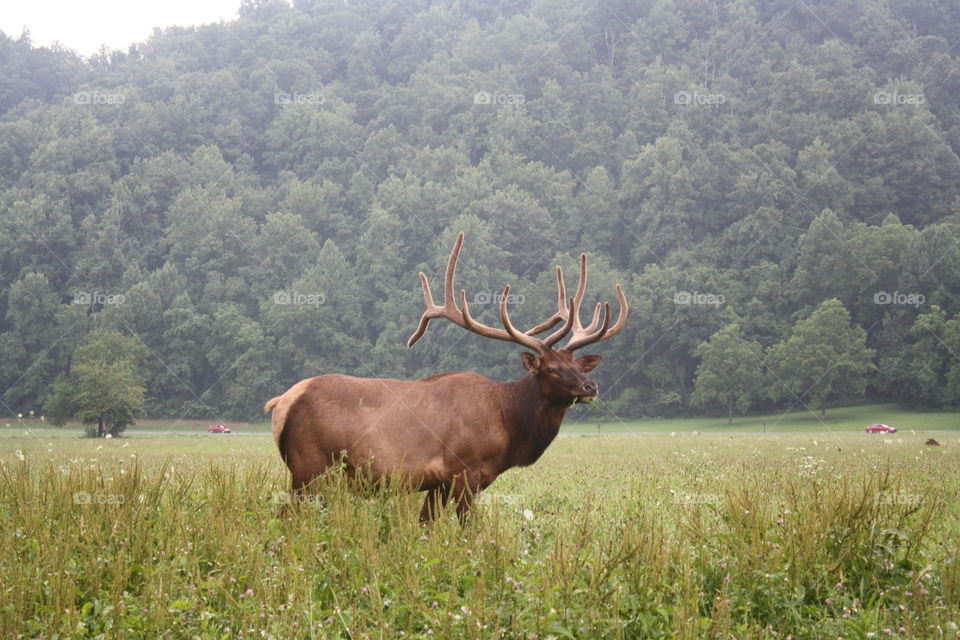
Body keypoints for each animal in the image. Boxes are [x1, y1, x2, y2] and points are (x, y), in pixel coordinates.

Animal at [264, 232, 632, 524]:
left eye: (579, 366)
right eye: (551, 368)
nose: (591, 387)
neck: (508, 426)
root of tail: (282, 402)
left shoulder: (436, 483)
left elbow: (426, 526)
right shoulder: (464, 470)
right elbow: (468, 528)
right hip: (309, 468)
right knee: (285, 518)